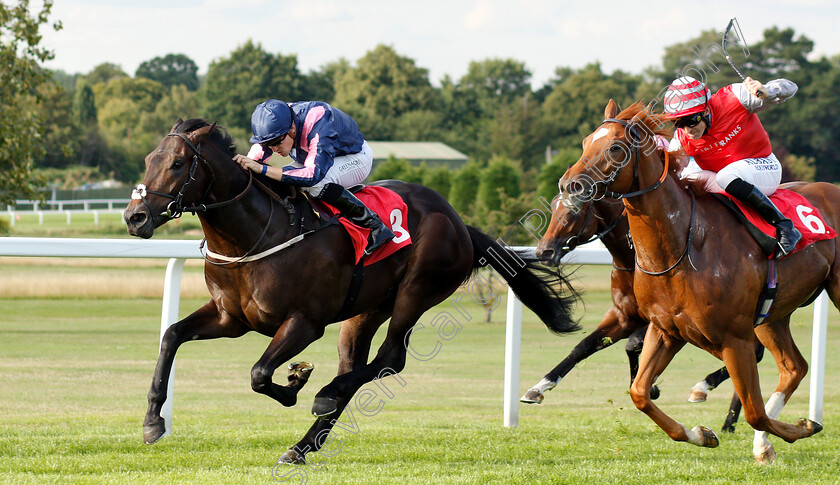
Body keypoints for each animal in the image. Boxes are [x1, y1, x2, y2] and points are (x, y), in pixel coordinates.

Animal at [123, 119, 584, 464]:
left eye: (178, 163)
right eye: (148, 160)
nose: (134, 217)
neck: (255, 235)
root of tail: (457, 220)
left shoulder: (304, 322)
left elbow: (259, 373)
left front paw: (296, 382)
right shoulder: (230, 318)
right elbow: (171, 336)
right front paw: (152, 422)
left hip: (416, 291)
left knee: (390, 359)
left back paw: (324, 397)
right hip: (364, 311)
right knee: (355, 367)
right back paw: (303, 444)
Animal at [556, 101, 832, 462]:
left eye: (615, 148)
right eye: (586, 142)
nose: (569, 185)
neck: (681, 249)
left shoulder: (734, 339)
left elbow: (755, 411)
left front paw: (802, 427)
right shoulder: (665, 330)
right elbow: (639, 392)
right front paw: (702, 434)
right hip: (774, 315)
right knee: (793, 367)